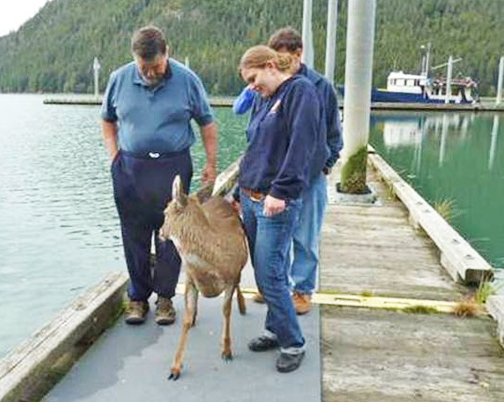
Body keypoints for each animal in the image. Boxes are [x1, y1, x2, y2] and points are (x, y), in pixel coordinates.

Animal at [159, 175, 248, 380]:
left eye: (165, 212)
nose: (160, 233)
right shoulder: (191, 280)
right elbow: (186, 317)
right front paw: (175, 368)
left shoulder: (231, 277)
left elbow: (226, 310)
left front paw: (227, 351)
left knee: (240, 285)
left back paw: (242, 306)